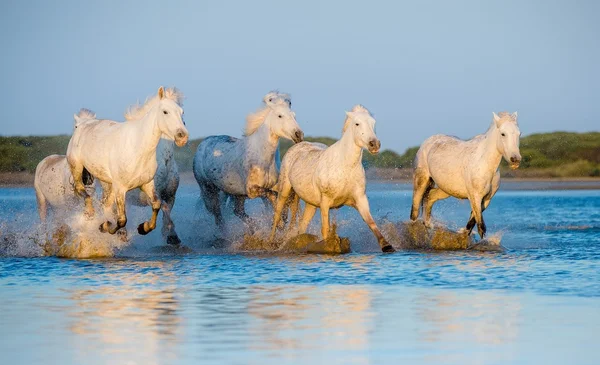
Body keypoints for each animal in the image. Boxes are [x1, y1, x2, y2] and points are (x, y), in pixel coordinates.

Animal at [67, 86, 188, 236]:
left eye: (182, 112)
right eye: (165, 111)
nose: (182, 136)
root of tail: (82, 124)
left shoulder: (148, 184)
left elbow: (157, 205)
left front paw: (143, 228)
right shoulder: (121, 188)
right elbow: (121, 220)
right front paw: (107, 227)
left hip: (108, 183)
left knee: (105, 205)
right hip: (77, 167)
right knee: (82, 190)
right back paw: (90, 213)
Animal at [192, 91, 302, 228]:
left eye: (294, 115)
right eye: (280, 116)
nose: (299, 135)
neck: (262, 159)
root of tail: (202, 144)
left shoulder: (274, 186)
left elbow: (284, 197)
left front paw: (283, 219)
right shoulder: (252, 190)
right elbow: (271, 196)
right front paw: (280, 221)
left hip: (236, 194)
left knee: (237, 211)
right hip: (209, 190)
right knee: (218, 216)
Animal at [270, 104, 394, 252]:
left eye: (373, 123)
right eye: (357, 124)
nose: (374, 144)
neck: (345, 166)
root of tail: (297, 145)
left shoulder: (360, 199)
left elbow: (371, 222)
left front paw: (387, 246)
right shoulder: (325, 201)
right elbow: (325, 229)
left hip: (311, 204)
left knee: (302, 226)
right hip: (285, 189)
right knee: (277, 215)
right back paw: (270, 242)